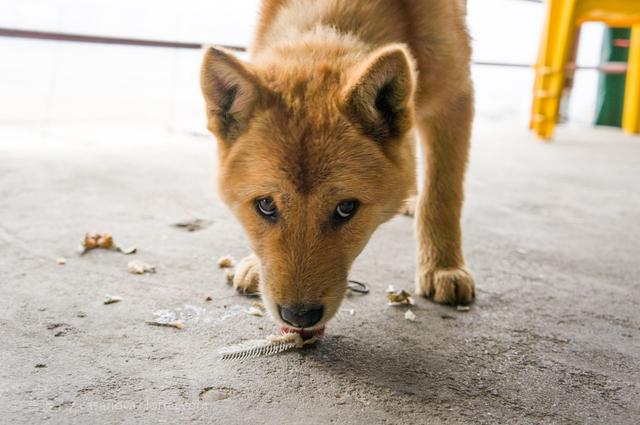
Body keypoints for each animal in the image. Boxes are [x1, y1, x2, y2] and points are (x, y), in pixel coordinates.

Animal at [200, 0, 476, 330]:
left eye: (346, 208)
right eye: (265, 205)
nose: (299, 317)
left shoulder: (455, 99)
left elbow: (442, 196)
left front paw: (443, 267)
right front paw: (255, 264)